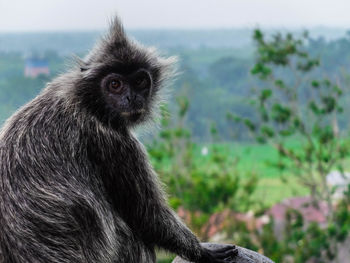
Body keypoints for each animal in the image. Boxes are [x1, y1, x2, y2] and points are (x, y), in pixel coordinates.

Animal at [0, 17, 238, 262]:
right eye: (115, 85)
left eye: (140, 81)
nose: (131, 98)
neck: (88, 103)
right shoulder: (114, 142)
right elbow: (147, 216)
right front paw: (202, 251)